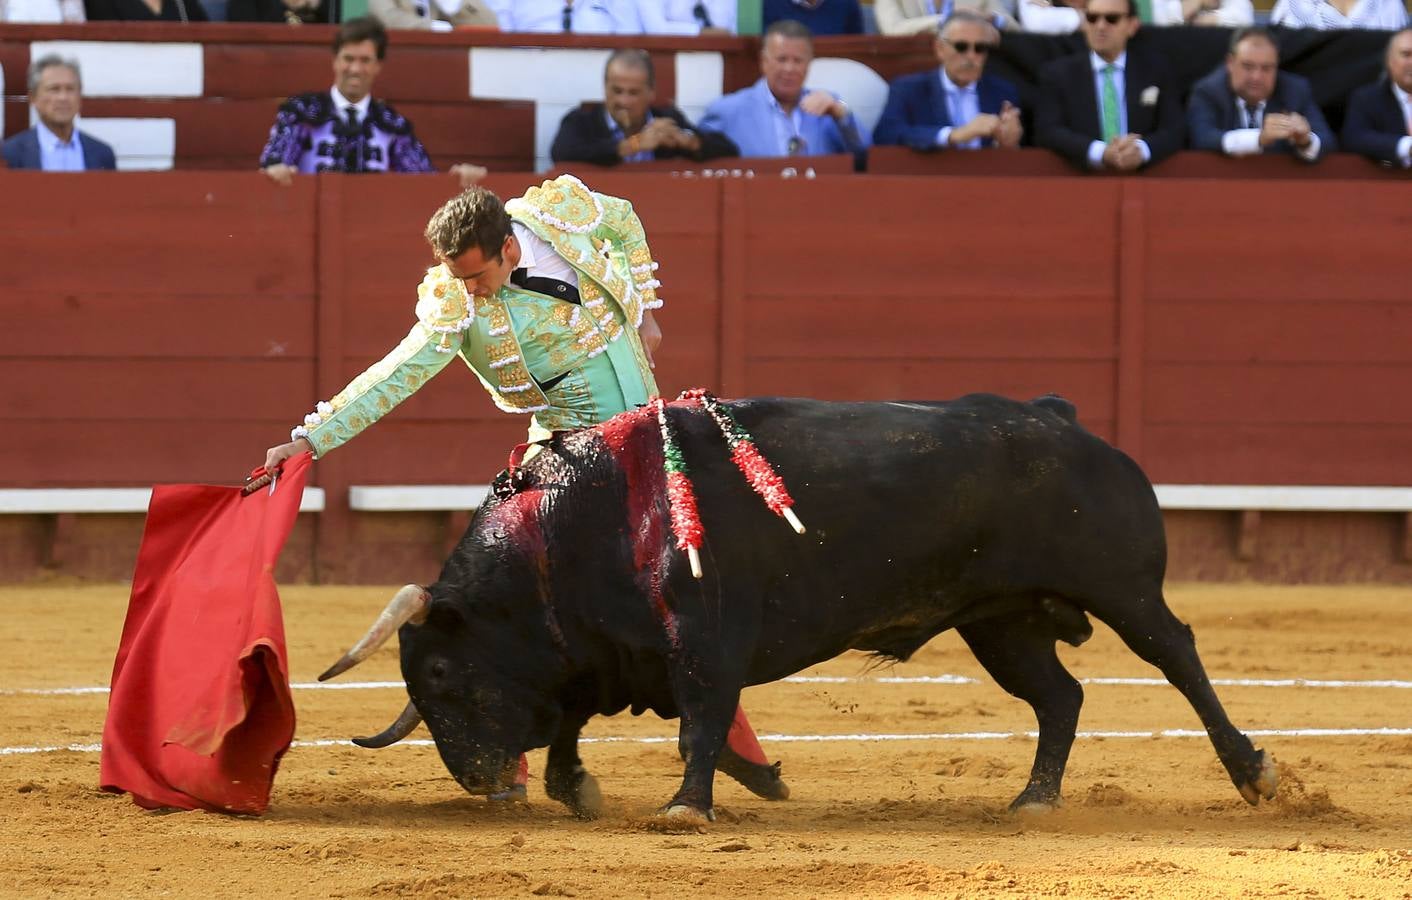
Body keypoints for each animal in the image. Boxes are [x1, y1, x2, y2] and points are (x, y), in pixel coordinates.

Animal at [323, 395, 1282, 819]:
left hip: (1121, 588)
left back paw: (1254, 772)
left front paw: (687, 808)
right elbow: (571, 718)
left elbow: (700, 723)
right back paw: (1033, 800)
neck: (579, 520)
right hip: (999, 621)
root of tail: (1064, 419)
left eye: (442, 671)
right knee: (1061, 696)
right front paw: (577, 787)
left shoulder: (704, 642)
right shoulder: (603, 651)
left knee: (1179, 657)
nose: (482, 781)